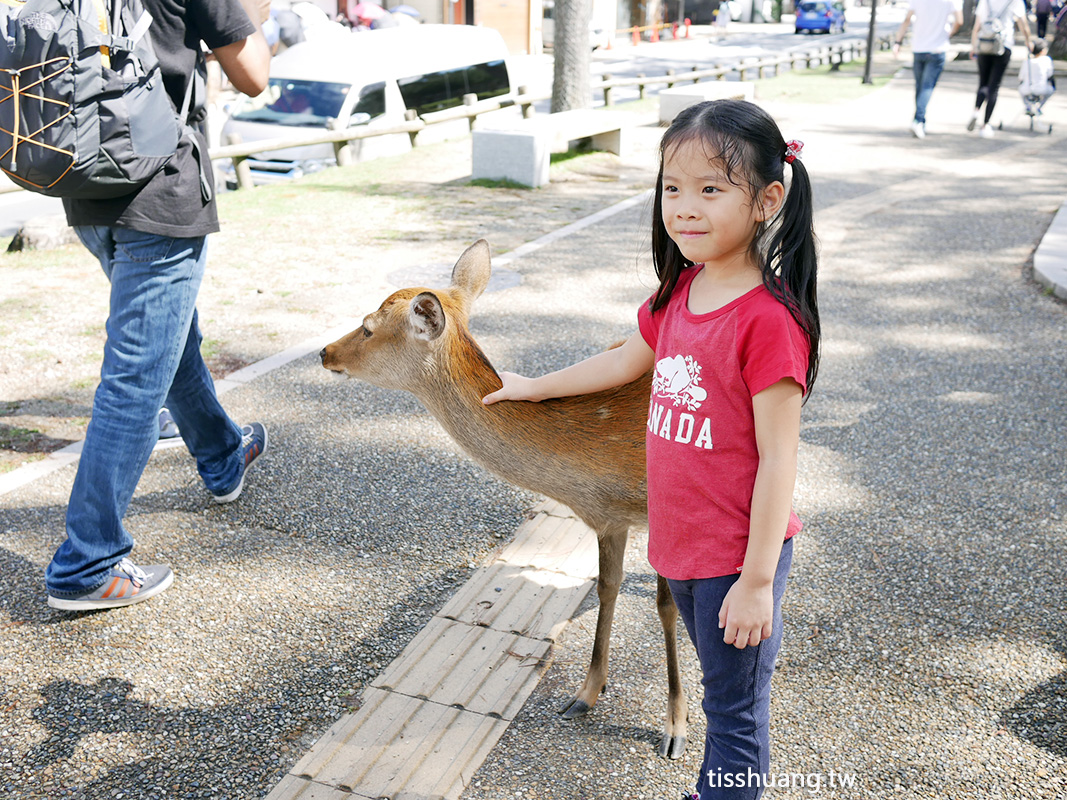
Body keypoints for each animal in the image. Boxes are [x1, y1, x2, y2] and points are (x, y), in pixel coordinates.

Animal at [315, 241, 687, 759]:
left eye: (368, 326)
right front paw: (586, 694)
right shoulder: (610, 520)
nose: (324, 351)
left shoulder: (661, 512)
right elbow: (606, 588)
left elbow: (667, 606)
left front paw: (676, 727)